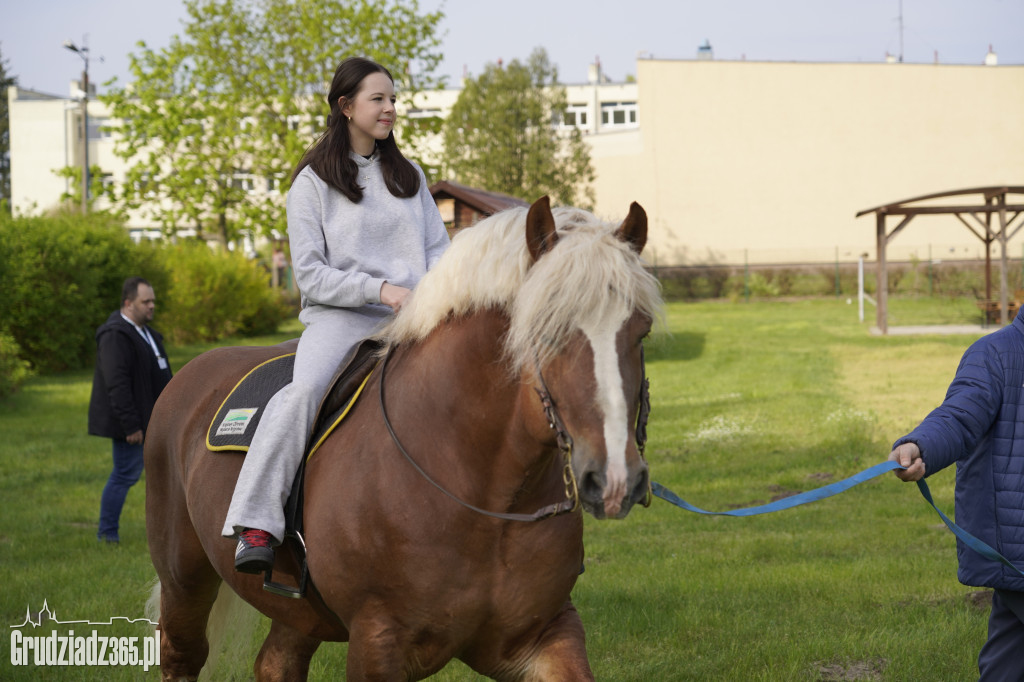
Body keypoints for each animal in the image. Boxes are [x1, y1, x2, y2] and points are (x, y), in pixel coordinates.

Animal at [144, 193, 663, 675]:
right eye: (545, 331)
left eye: (641, 331)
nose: (615, 479)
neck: (481, 494)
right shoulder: (377, 643)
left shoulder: (542, 636)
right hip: (184, 582)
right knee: (181, 656)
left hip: (299, 614)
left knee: (275, 662)